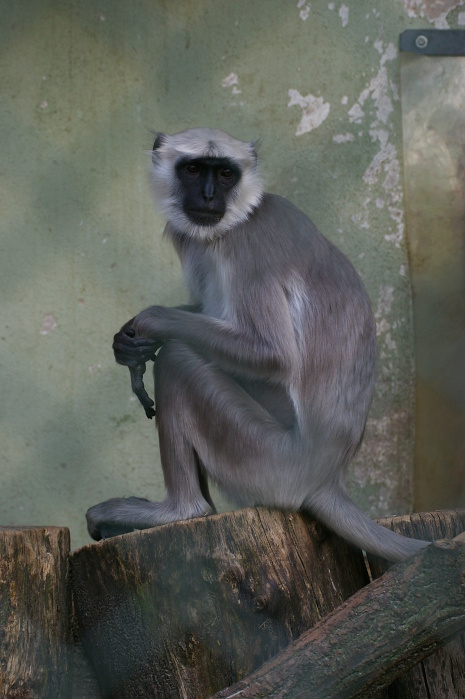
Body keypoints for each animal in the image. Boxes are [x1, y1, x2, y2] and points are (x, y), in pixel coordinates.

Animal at [86, 127, 428, 564]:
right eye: (193, 169)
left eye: (225, 174)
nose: (209, 195)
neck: (239, 217)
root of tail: (329, 475)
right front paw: (128, 343)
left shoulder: (246, 245)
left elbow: (272, 356)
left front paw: (150, 323)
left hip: (268, 461)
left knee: (178, 360)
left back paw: (182, 510)